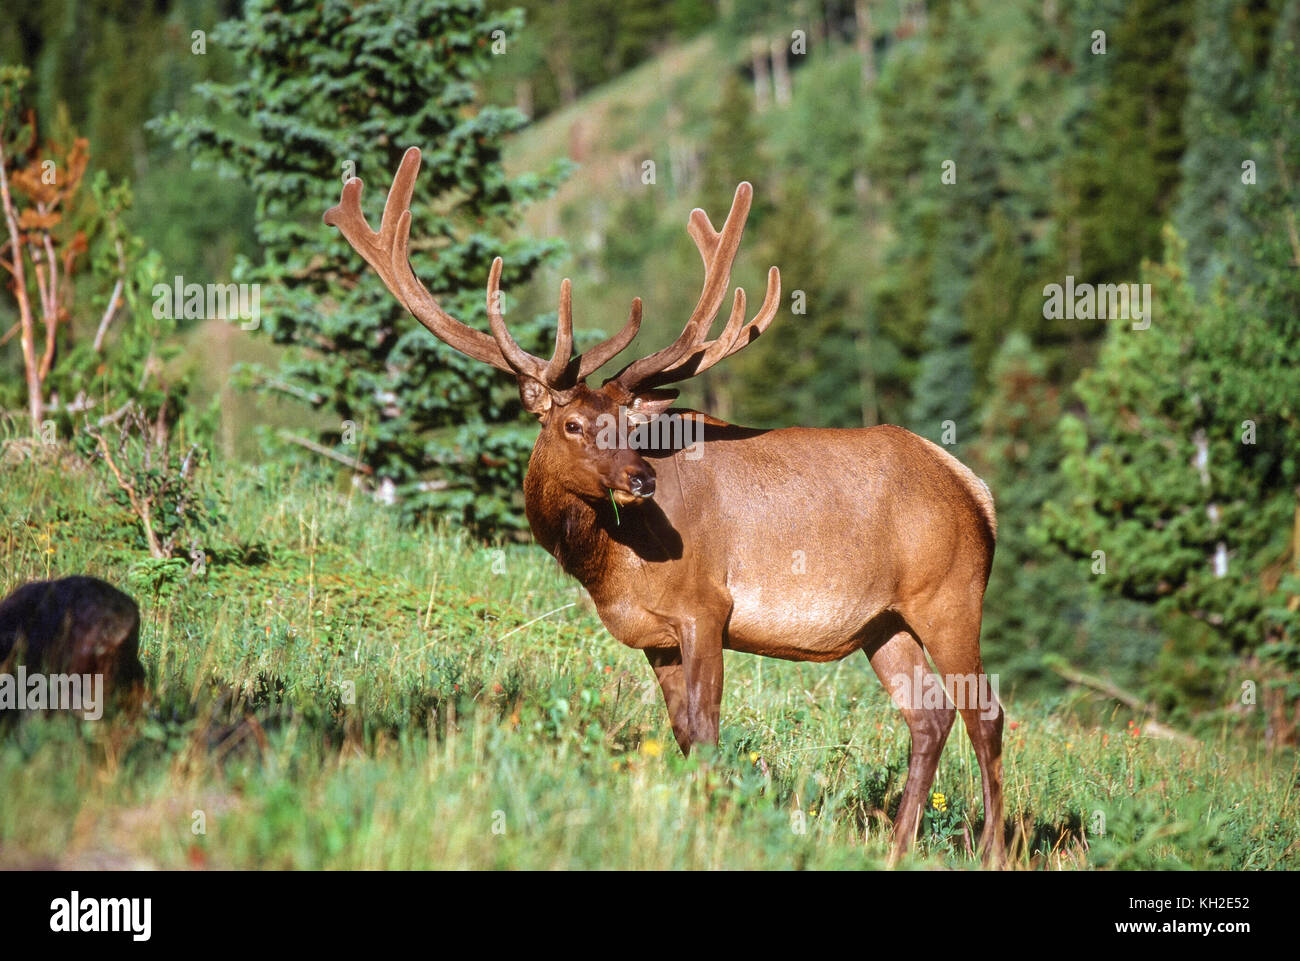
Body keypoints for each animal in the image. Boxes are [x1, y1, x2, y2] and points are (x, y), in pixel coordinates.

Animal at [325, 148, 1003, 863]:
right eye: (572, 425)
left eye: (629, 426)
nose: (642, 479)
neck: (612, 567)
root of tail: (976, 492)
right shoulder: (656, 638)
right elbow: (682, 735)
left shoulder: (707, 607)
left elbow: (707, 732)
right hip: (884, 623)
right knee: (929, 716)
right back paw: (896, 847)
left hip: (950, 594)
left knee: (986, 714)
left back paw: (994, 850)